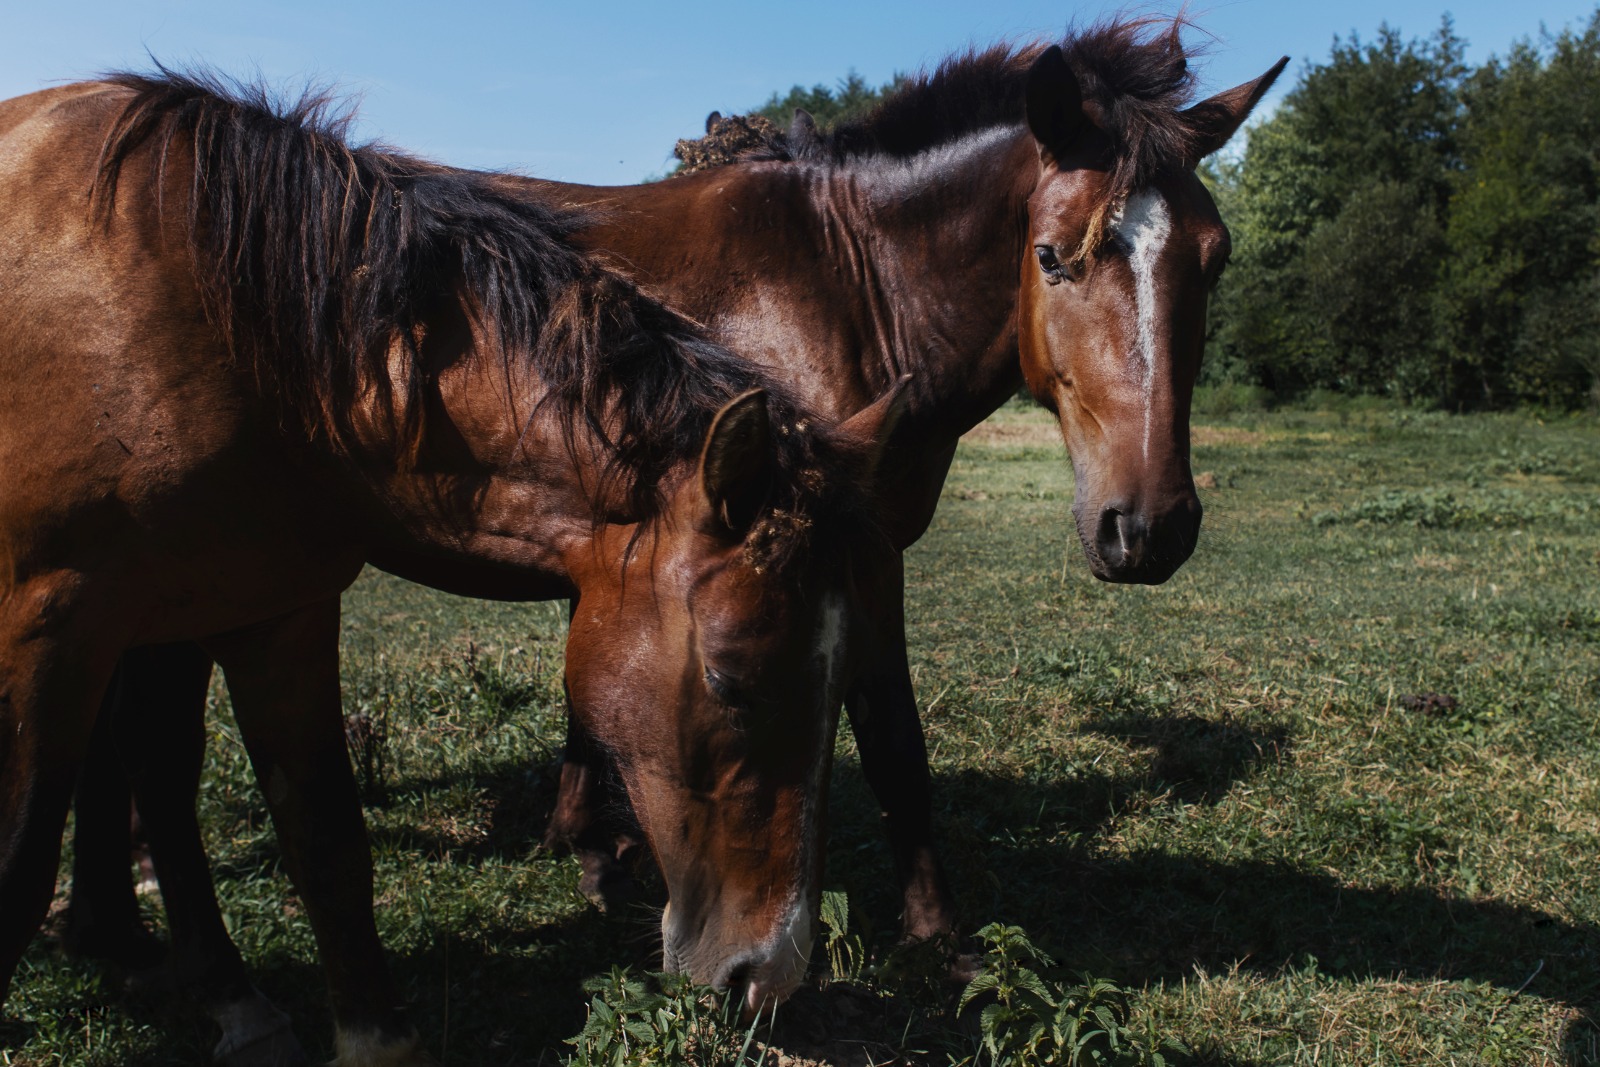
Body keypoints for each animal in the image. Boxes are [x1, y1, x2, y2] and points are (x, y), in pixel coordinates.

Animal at [0, 70, 902, 1062]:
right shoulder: (51, 623)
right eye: (731, 680)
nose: (767, 973)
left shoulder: (275, 610)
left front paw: (370, 1032)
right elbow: (22, 856)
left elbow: (324, 829)